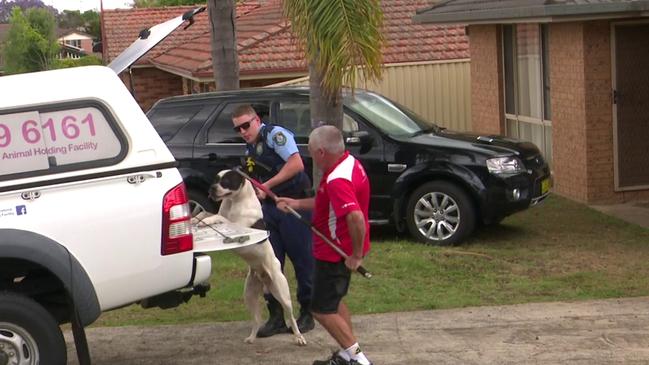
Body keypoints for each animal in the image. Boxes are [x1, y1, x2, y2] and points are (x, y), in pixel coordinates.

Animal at [192, 169, 306, 346]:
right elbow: (206, 212)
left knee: (291, 317)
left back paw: (299, 337)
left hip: (282, 293)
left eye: (226, 181)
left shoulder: (239, 226)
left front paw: (207, 221)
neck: (235, 202)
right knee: (256, 319)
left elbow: (220, 218)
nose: (212, 188)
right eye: (215, 180)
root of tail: (264, 276)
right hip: (249, 296)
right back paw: (252, 338)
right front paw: (194, 218)